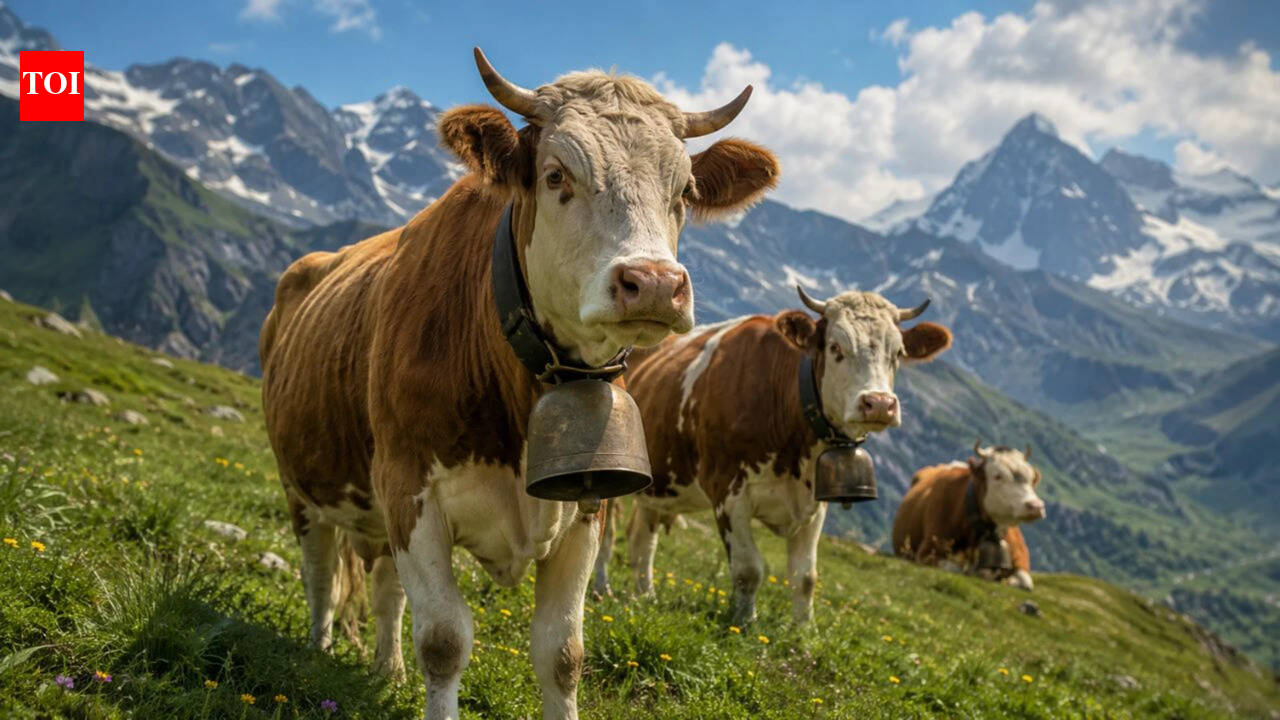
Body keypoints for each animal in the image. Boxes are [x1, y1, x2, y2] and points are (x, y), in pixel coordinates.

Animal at [259, 49, 780, 720]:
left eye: (684, 190)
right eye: (557, 175)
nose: (655, 284)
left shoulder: (587, 509)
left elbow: (562, 653)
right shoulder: (407, 488)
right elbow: (445, 640)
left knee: (383, 590)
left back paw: (387, 670)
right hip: (302, 487)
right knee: (321, 573)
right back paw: (318, 650)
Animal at [592, 286, 954, 625]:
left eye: (898, 353)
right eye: (836, 348)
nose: (879, 404)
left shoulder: (815, 503)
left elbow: (805, 577)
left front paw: (804, 632)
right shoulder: (728, 491)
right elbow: (749, 569)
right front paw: (745, 624)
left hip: (658, 487)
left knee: (642, 540)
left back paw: (645, 596)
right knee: (609, 537)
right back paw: (602, 588)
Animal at [893, 443, 1046, 590]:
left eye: (1032, 479)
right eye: (998, 476)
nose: (1035, 506)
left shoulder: (1020, 557)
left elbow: (1025, 582)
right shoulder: (928, 551)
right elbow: (955, 569)